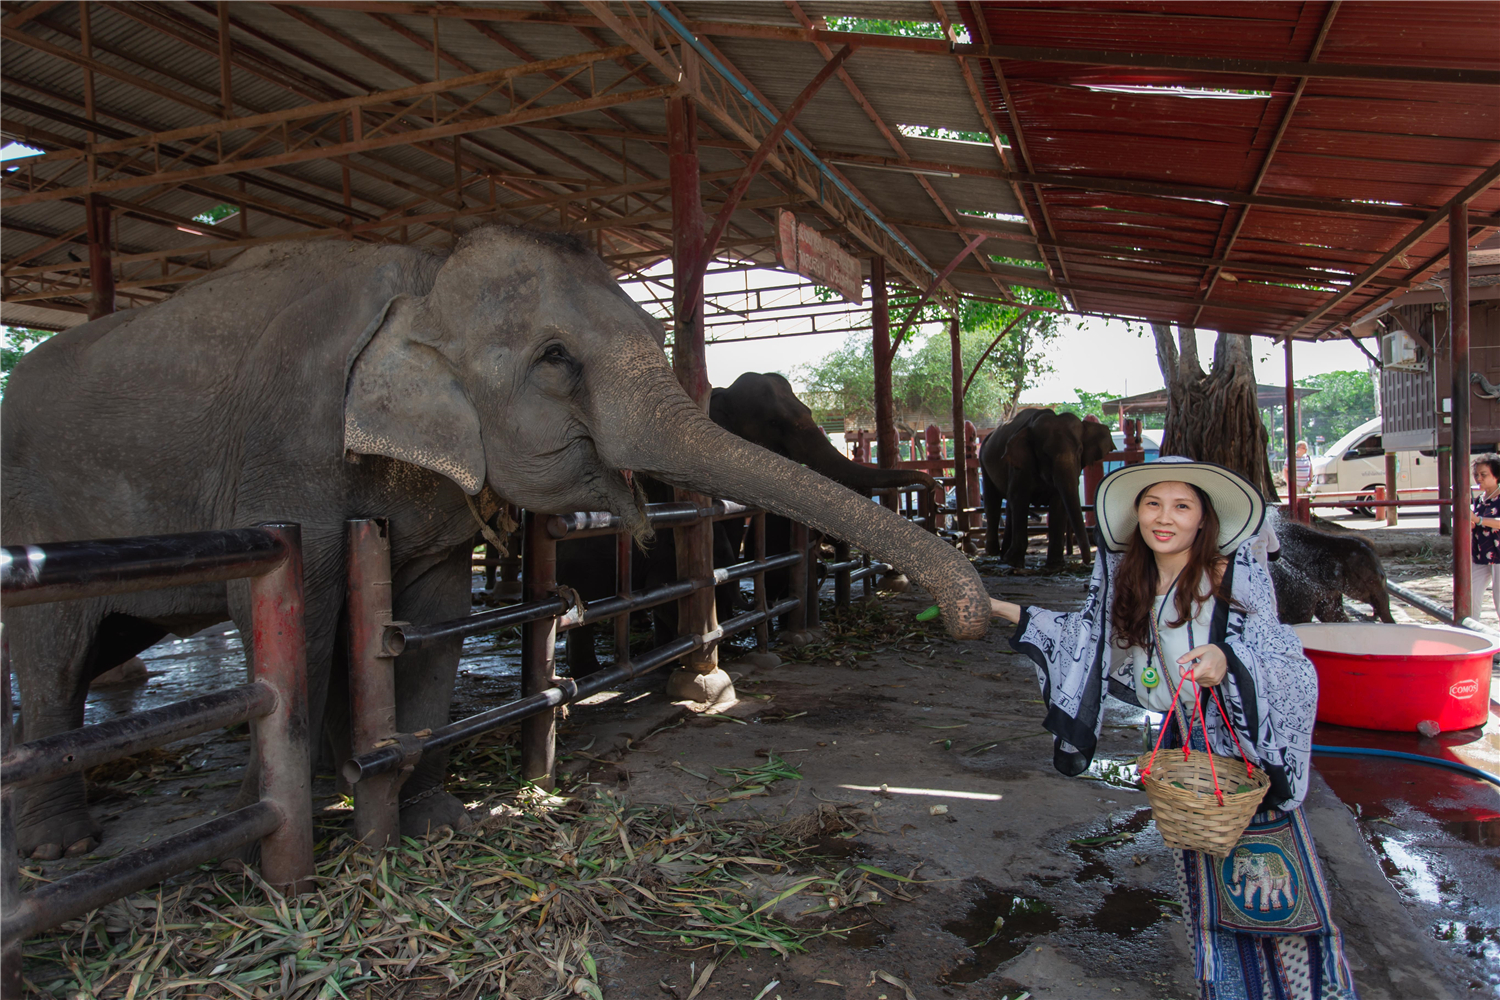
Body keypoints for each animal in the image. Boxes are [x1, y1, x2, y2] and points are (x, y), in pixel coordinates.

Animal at [984, 404, 1116, 563]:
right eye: (1045, 454)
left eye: (1080, 450)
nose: (1087, 561)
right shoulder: (1020, 466)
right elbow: (1020, 498)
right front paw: (1014, 561)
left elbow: (1058, 502)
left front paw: (1055, 563)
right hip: (983, 461)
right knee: (993, 501)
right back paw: (994, 553)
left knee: (1008, 505)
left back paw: (1004, 556)